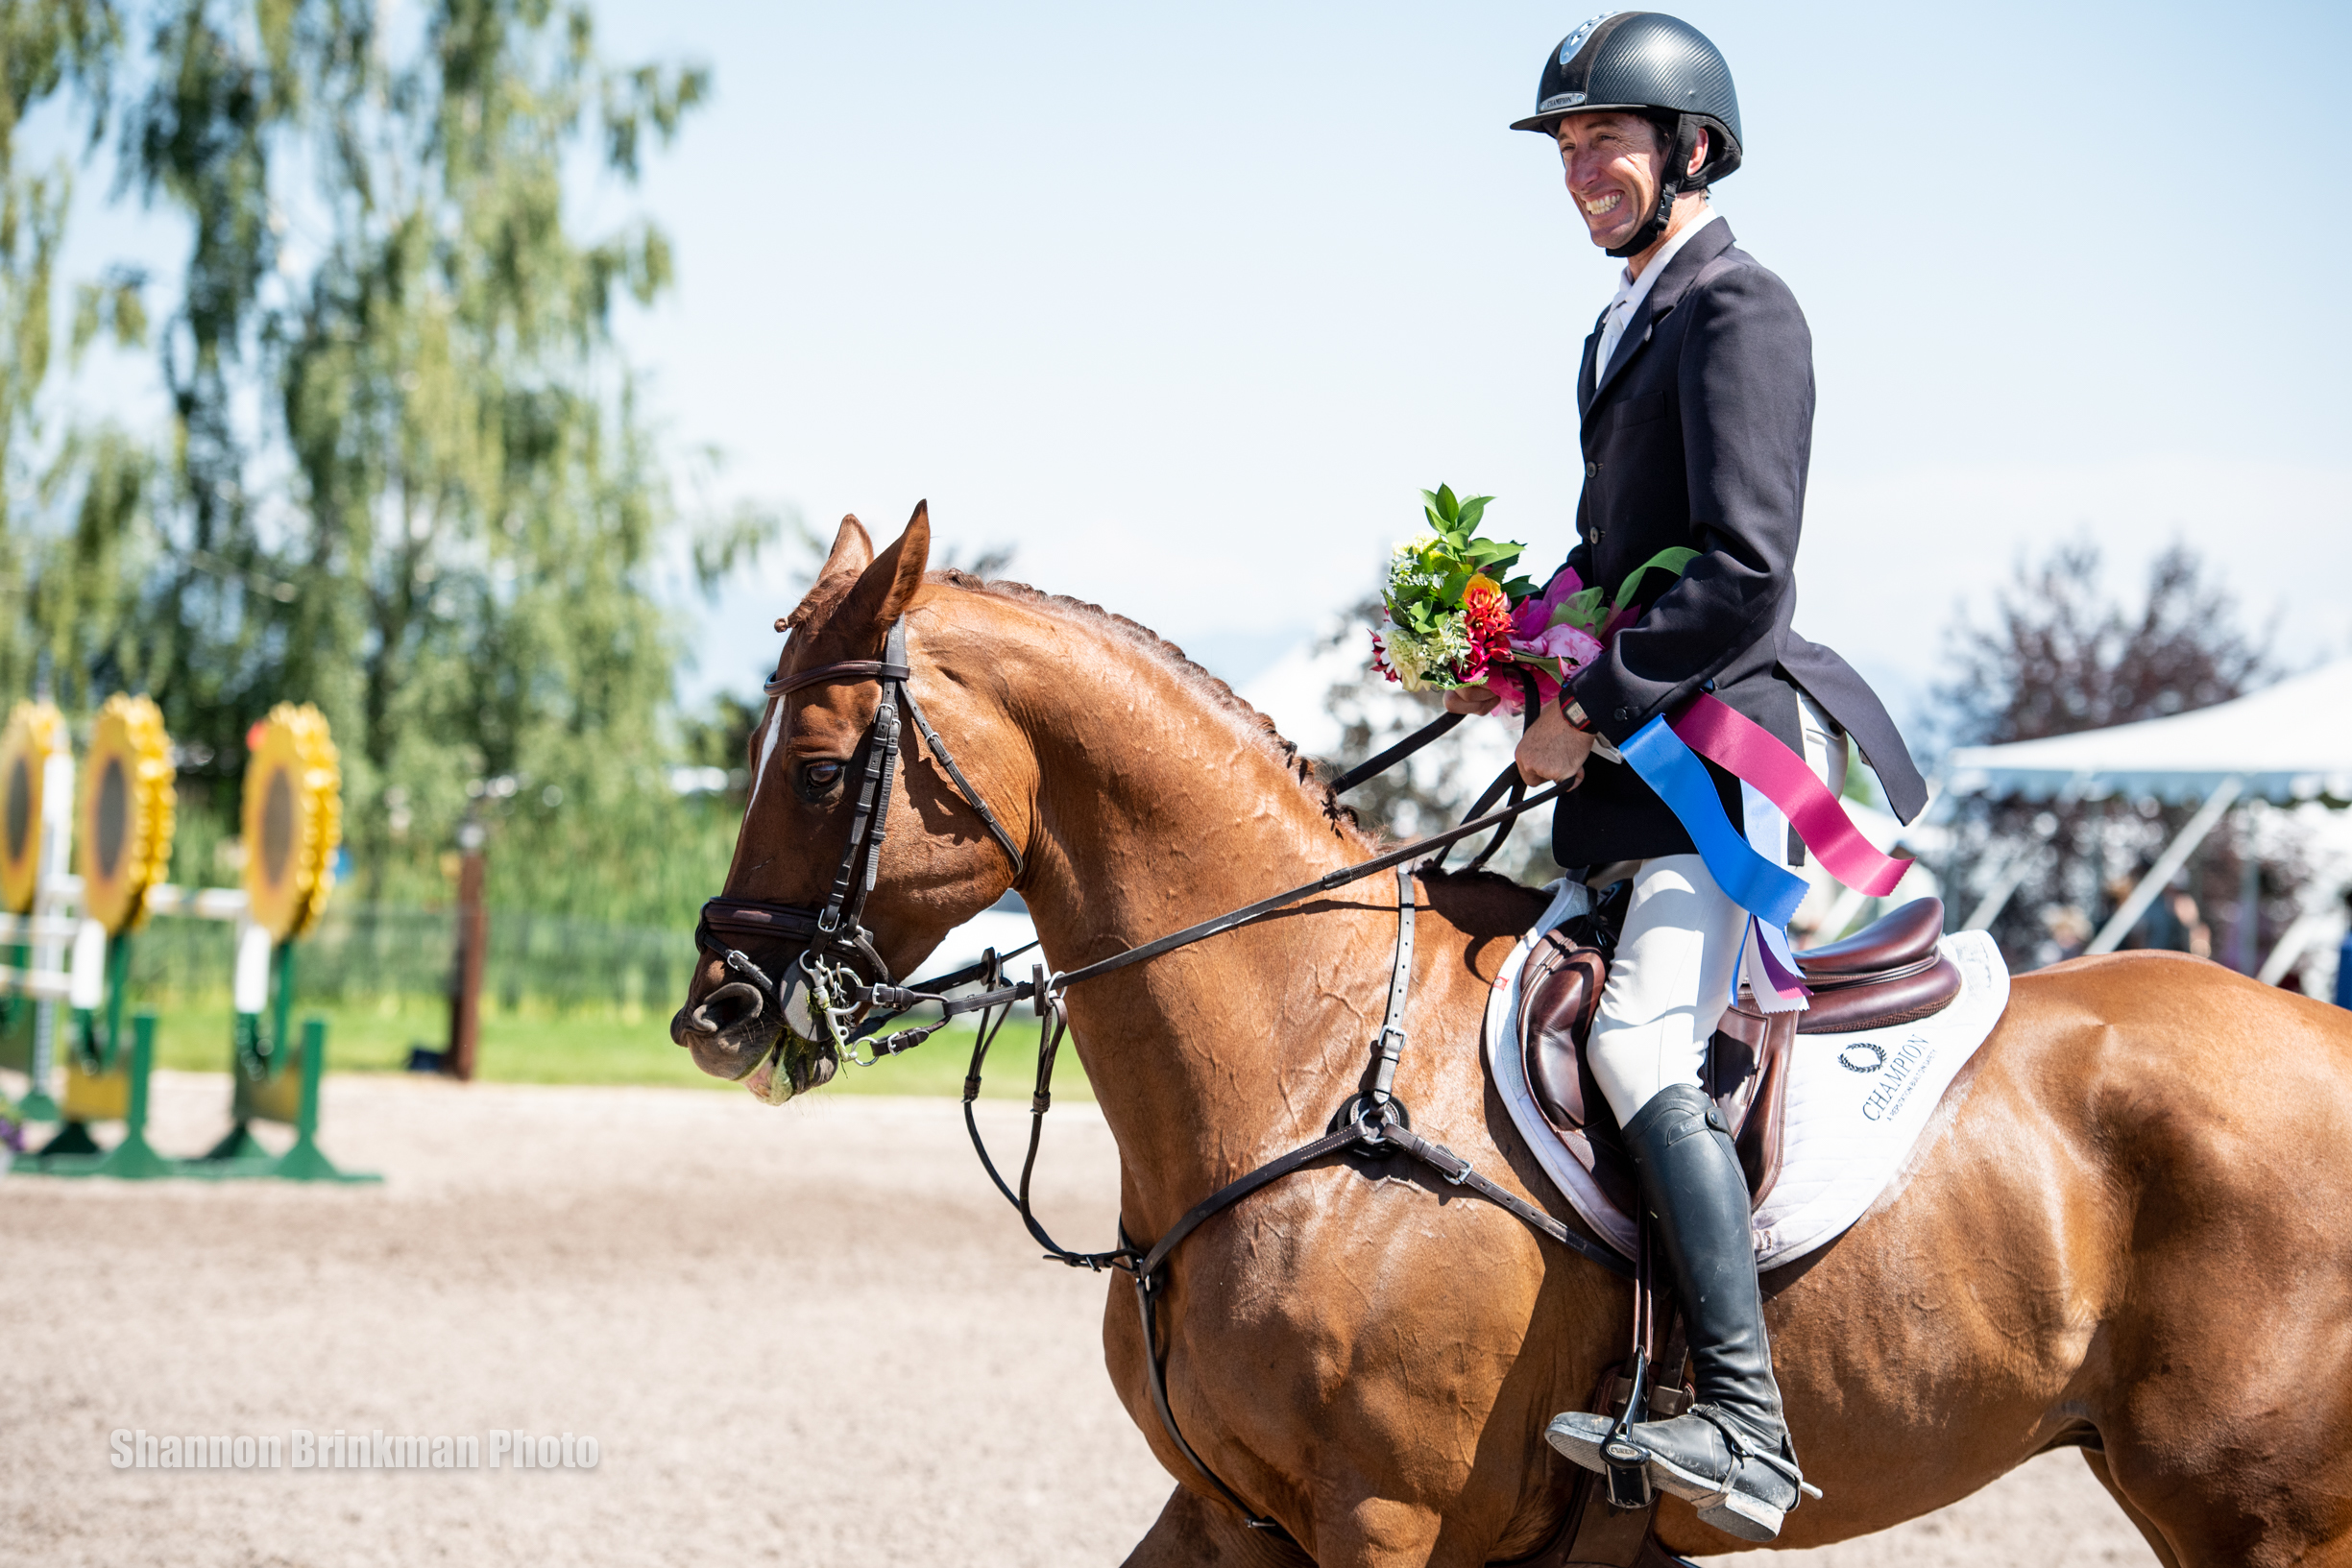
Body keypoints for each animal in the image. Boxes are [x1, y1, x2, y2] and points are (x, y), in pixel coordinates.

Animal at [672, 510, 2352, 1560]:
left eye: (815, 768)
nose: (718, 1013)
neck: (1307, 1055)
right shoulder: (1230, 1513)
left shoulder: (1380, 1517)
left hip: (2264, 1509)